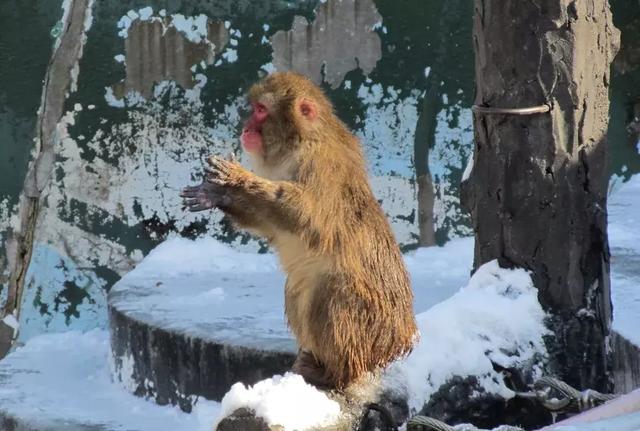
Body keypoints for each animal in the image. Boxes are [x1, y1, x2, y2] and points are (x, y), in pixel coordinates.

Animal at [182, 72, 418, 390]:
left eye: (260, 110)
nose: (246, 126)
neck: (299, 141)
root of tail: (396, 344)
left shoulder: (319, 163)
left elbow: (306, 213)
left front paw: (237, 179)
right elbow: (270, 224)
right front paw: (219, 194)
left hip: (368, 326)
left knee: (329, 291)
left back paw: (334, 373)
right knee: (295, 287)